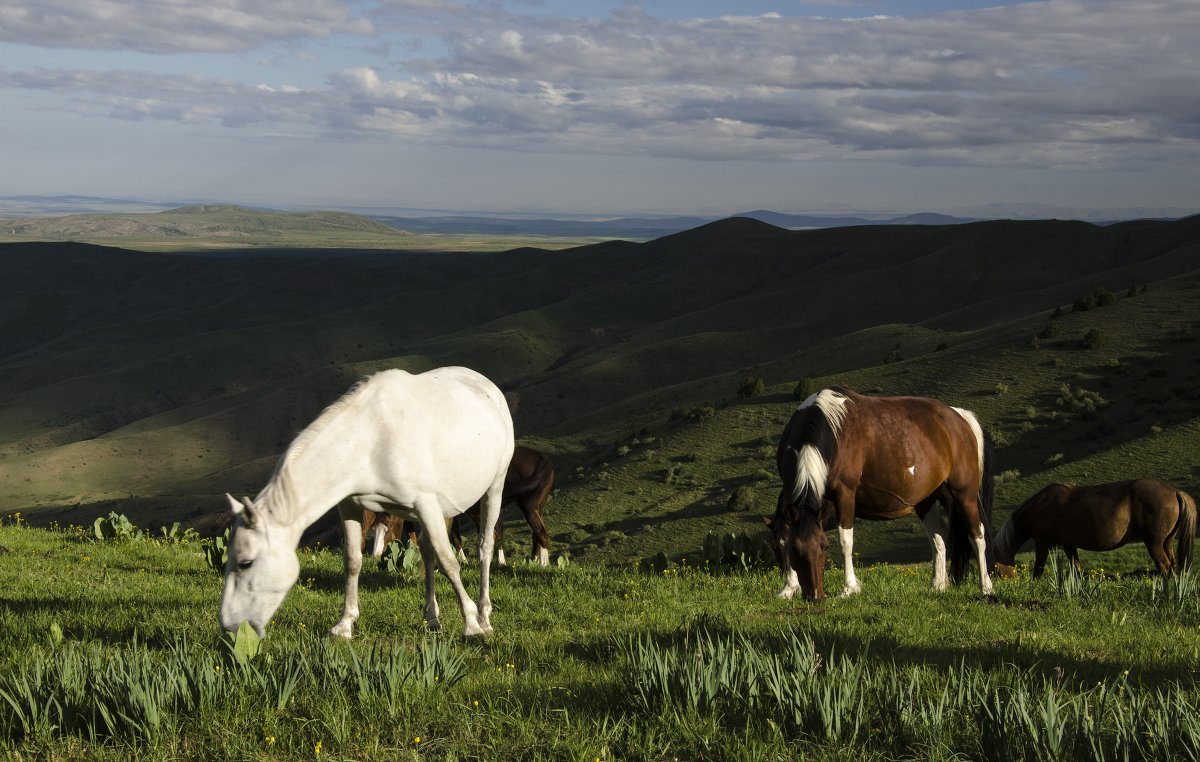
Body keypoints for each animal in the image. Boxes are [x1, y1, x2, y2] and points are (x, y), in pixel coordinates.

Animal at [220, 367, 511, 643]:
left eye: (246, 563)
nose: (229, 627)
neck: (370, 440)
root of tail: (487, 386)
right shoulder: (351, 506)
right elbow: (352, 560)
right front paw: (344, 625)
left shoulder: (426, 504)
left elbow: (449, 561)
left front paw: (471, 626)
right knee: (427, 552)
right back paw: (432, 618)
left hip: (494, 486)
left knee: (484, 546)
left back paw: (484, 616)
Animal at [768, 386, 993, 602]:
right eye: (789, 550)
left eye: (824, 547)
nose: (815, 595)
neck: (830, 428)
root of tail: (959, 417)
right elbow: (788, 531)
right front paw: (788, 589)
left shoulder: (844, 494)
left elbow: (845, 541)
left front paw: (849, 588)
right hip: (926, 500)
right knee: (938, 537)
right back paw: (937, 586)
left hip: (964, 494)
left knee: (977, 535)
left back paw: (986, 587)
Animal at [988, 480, 1195, 580]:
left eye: (995, 568)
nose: (1000, 582)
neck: (1041, 505)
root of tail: (1174, 492)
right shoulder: (1069, 545)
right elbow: (1077, 569)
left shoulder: (1042, 543)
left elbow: (1038, 568)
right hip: (1167, 542)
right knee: (1172, 566)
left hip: (1154, 543)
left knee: (1165, 567)